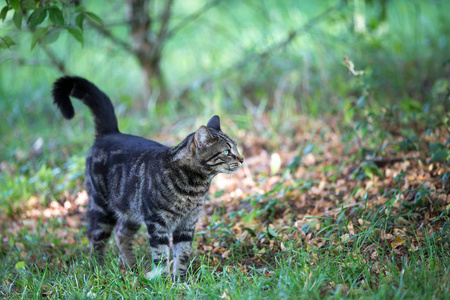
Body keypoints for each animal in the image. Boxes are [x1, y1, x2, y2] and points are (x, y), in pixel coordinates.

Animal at [51, 77, 244, 278]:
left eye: (236, 148)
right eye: (227, 151)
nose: (242, 159)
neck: (195, 187)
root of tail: (111, 132)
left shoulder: (187, 223)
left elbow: (182, 254)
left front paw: (180, 280)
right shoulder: (157, 222)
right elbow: (162, 255)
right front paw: (164, 280)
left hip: (130, 211)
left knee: (121, 234)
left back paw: (132, 268)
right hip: (102, 207)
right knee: (95, 239)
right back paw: (99, 270)